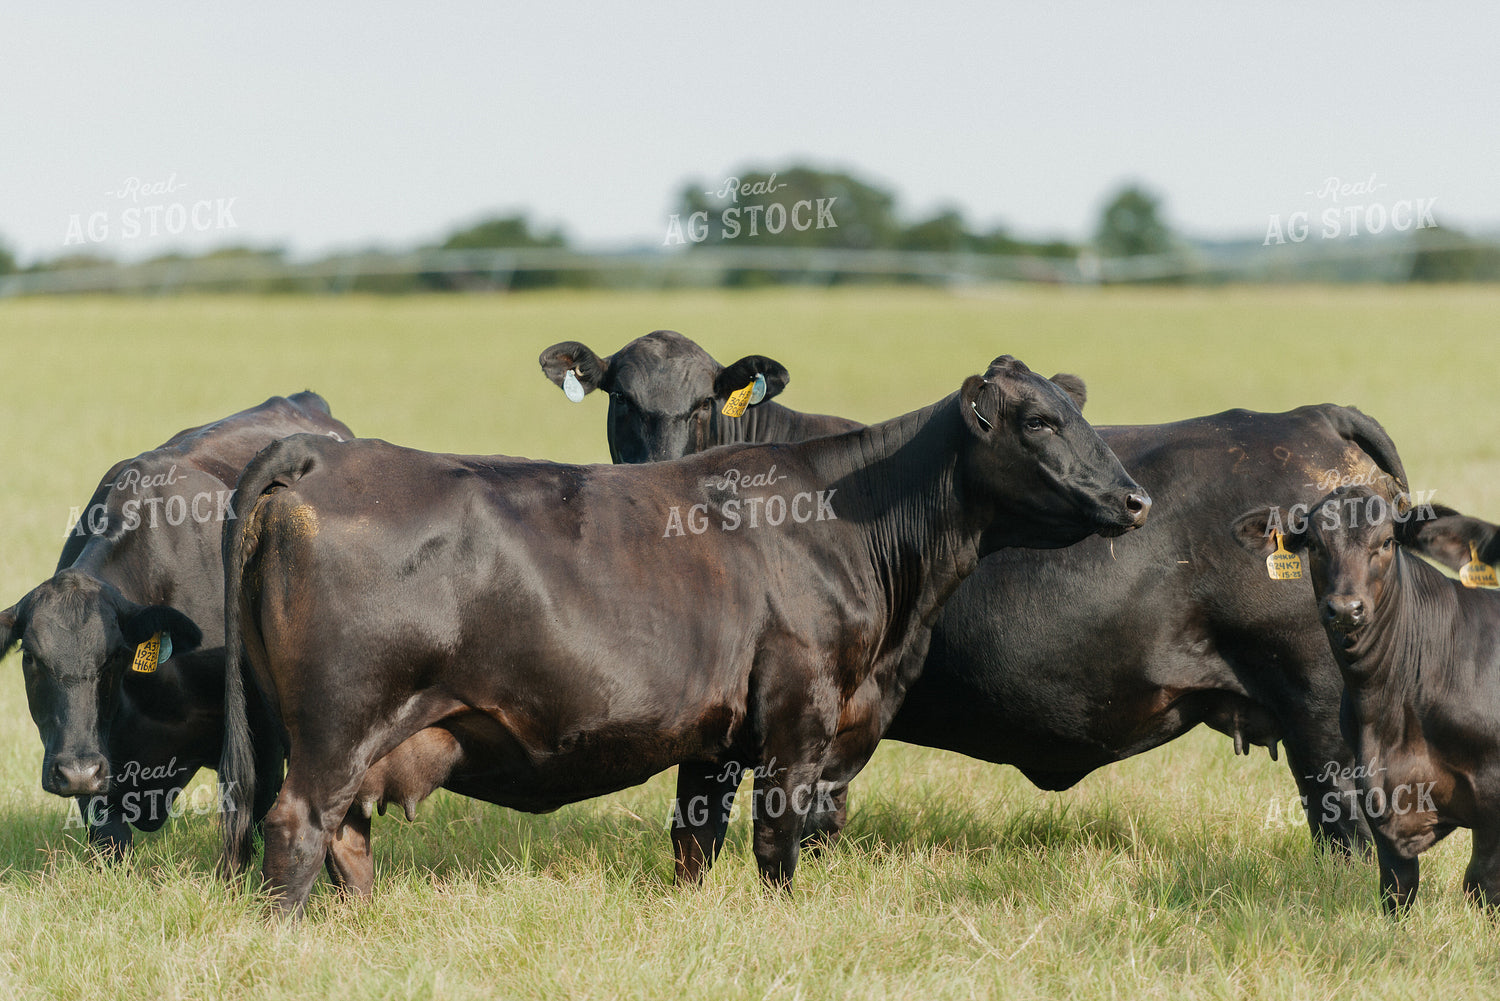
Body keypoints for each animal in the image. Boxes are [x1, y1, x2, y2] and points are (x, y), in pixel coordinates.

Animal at [219, 356, 1150, 914]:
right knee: (298, 824)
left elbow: (695, 840)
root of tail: (321, 454)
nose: (1136, 499)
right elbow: (777, 839)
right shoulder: (799, 712)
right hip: (337, 721)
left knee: (344, 835)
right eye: (1038, 423)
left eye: (1076, 412)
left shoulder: (714, 735)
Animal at [1234, 487, 1500, 912]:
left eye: (1388, 541)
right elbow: (1397, 888)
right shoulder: (1376, 795)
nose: (1345, 608)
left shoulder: (1492, 796)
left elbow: (1482, 885)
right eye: (1313, 544)